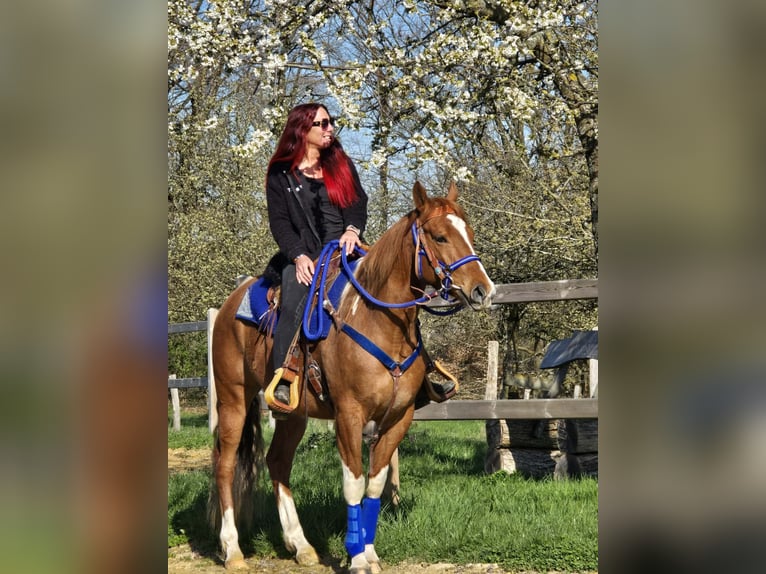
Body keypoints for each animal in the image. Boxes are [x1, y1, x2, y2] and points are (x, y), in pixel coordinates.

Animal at [209, 180, 496, 572]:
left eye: (470, 233)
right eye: (439, 236)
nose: (484, 290)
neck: (378, 323)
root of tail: (228, 305)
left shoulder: (398, 418)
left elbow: (374, 486)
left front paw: (369, 553)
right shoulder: (349, 415)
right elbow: (354, 485)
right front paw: (356, 555)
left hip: (293, 414)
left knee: (278, 462)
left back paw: (300, 545)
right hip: (233, 399)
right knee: (225, 465)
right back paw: (232, 548)